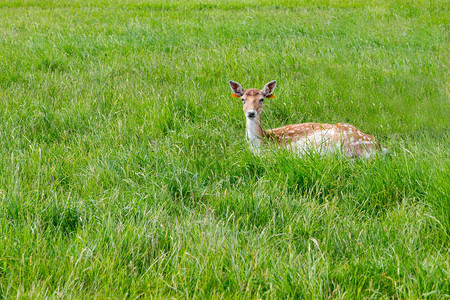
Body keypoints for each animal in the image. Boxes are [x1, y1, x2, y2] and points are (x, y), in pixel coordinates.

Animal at [229, 79, 386, 159]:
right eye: (243, 99)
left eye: (262, 99)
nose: (251, 113)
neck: (262, 143)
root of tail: (380, 147)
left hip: (345, 145)